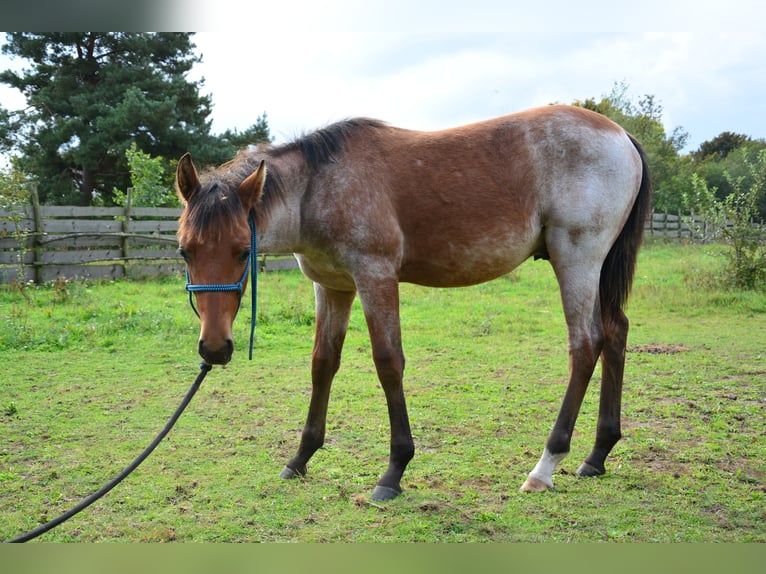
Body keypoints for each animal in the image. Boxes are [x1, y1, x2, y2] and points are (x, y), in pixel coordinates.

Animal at [175, 104, 652, 501]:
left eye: (243, 251)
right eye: (184, 251)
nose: (214, 349)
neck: (319, 186)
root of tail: (620, 134)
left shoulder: (376, 277)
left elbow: (389, 363)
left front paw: (394, 470)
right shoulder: (333, 286)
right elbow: (323, 364)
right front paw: (301, 457)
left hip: (577, 259)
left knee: (585, 344)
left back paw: (545, 466)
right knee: (615, 333)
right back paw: (597, 455)